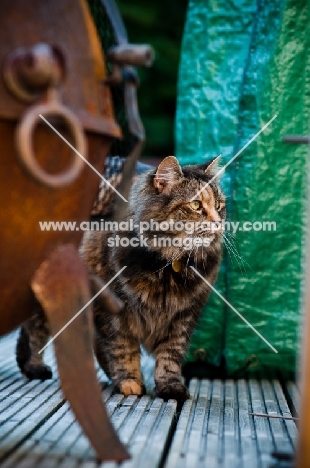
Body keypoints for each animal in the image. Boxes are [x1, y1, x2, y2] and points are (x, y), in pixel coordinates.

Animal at [15, 156, 225, 402]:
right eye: (195, 205)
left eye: (219, 206)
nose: (218, 223)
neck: (167, 266)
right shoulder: (112, 313)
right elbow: (123, 349)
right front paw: (129, 381)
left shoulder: (183, 316)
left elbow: (170, 355)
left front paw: (170, 386)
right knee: (34, 328)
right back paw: (33, 367)